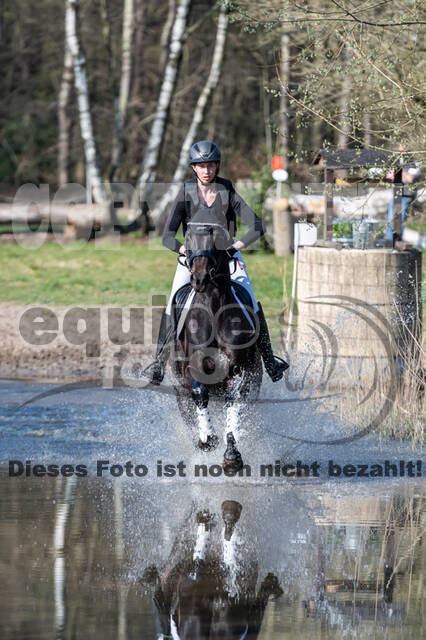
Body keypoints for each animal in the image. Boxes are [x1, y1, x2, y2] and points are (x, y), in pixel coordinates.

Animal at [170, 222, 262, 472]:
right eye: (188, 240)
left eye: (217, 242)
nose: (200, 279)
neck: (213, 309)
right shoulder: (191, 369)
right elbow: (199, 392)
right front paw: (208, 437)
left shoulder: (239, 369)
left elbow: (234, 399)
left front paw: (232, 454)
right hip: (180, 394)